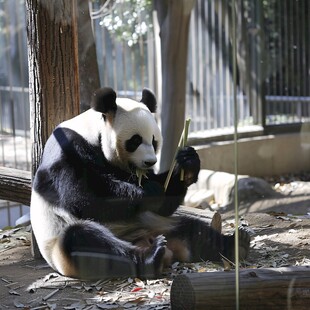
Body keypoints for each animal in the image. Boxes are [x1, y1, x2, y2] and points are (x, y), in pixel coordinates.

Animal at [30, 86, 251, 278]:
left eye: (154, 140)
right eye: (135, 140)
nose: (150, 161)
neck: (92, 132)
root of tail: (142, 240)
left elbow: (164, 204)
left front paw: (187, 163)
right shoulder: (67, 148)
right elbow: (82, 198)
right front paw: (148, 192)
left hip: (158, 225)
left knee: (193, 230)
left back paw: (236, 244)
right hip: (61, 247)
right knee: (84, 240)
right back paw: (150, 258)